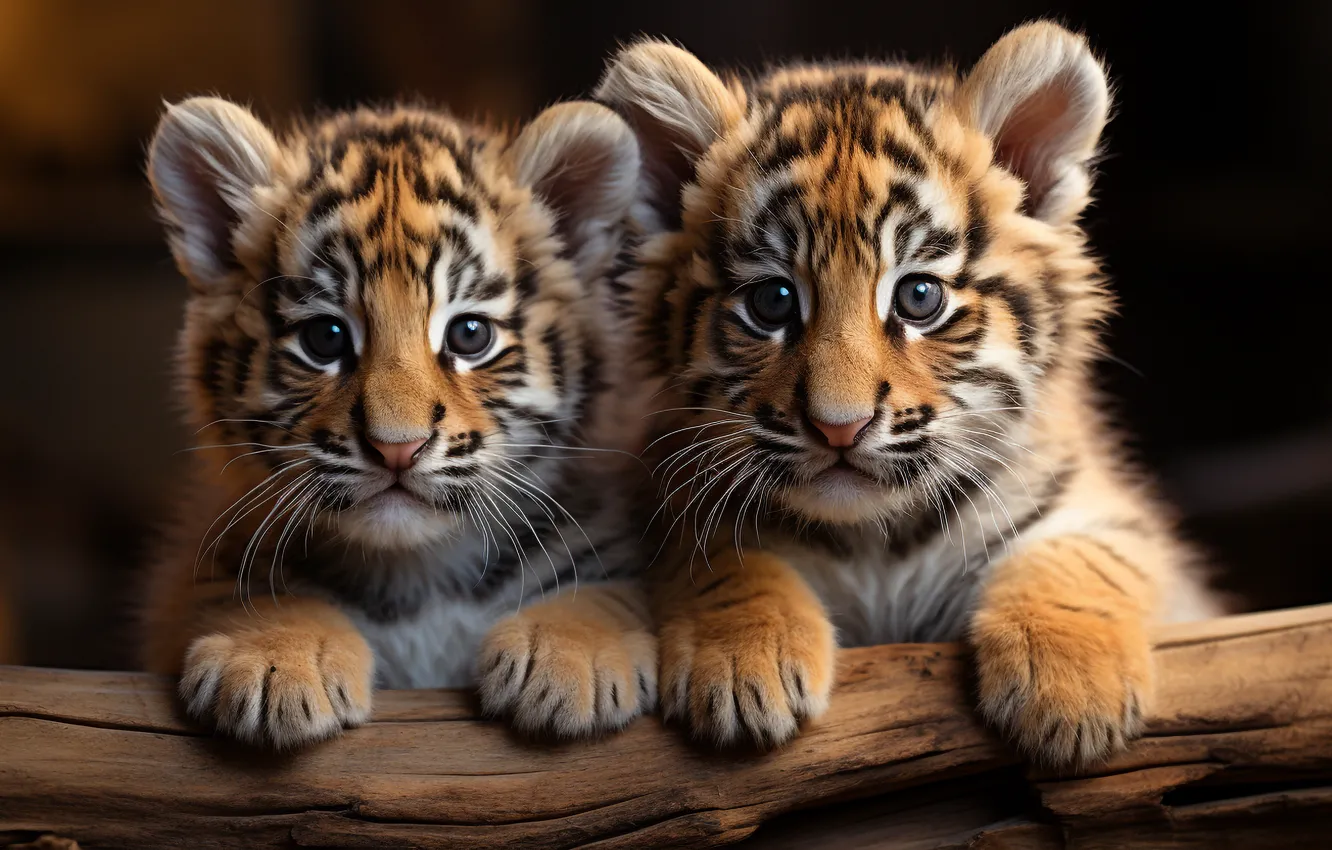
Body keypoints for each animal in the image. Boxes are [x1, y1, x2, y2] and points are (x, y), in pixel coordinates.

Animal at [139, 95, 657, 748]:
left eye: (470, 334)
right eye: (324, 338)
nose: (397, 448)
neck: (417, 575)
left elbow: (599, 592)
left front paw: (571, 660)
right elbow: (245, 590)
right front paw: (271, 659)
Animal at [593, 21, 1223, 766]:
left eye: (919, 297)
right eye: (773, 302)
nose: (838, 427)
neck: (876, 540)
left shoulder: (1099, 509)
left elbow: (1081, 556)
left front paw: (1069, 694)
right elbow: (721, 557)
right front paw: (745, 668)